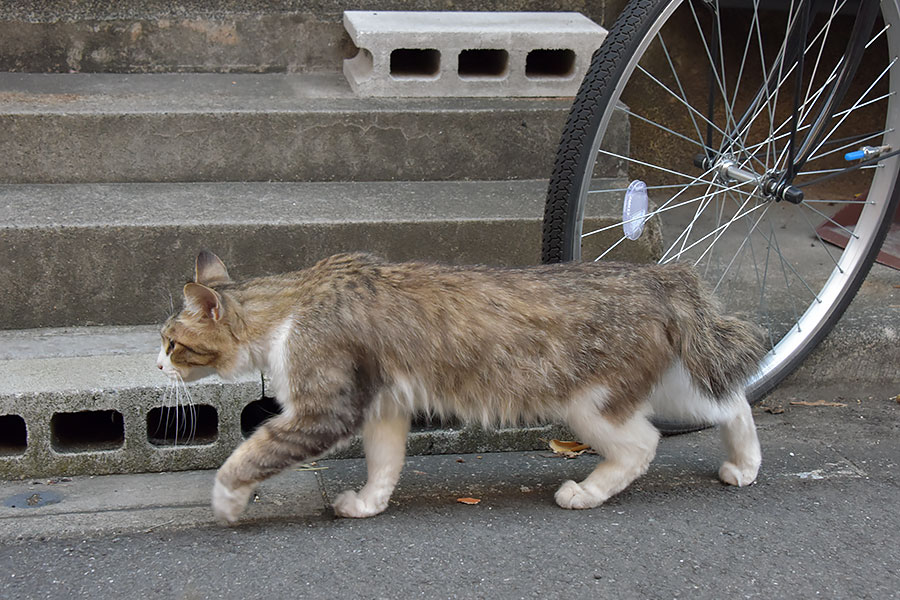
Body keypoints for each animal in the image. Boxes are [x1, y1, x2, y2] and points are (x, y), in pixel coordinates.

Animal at [158, 251, 764, 524]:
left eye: (170, 342)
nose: (159, 366)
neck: (288, 308)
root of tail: (656, 275)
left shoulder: (323, 410)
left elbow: (245, 457)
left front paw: (227, 501)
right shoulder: (382, 408)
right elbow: (384, 465)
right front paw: (369, 504)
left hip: (591, 404)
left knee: (643, 445)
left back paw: (586, 492)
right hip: (666, 385)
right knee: (732, 402)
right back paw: (744, 467)